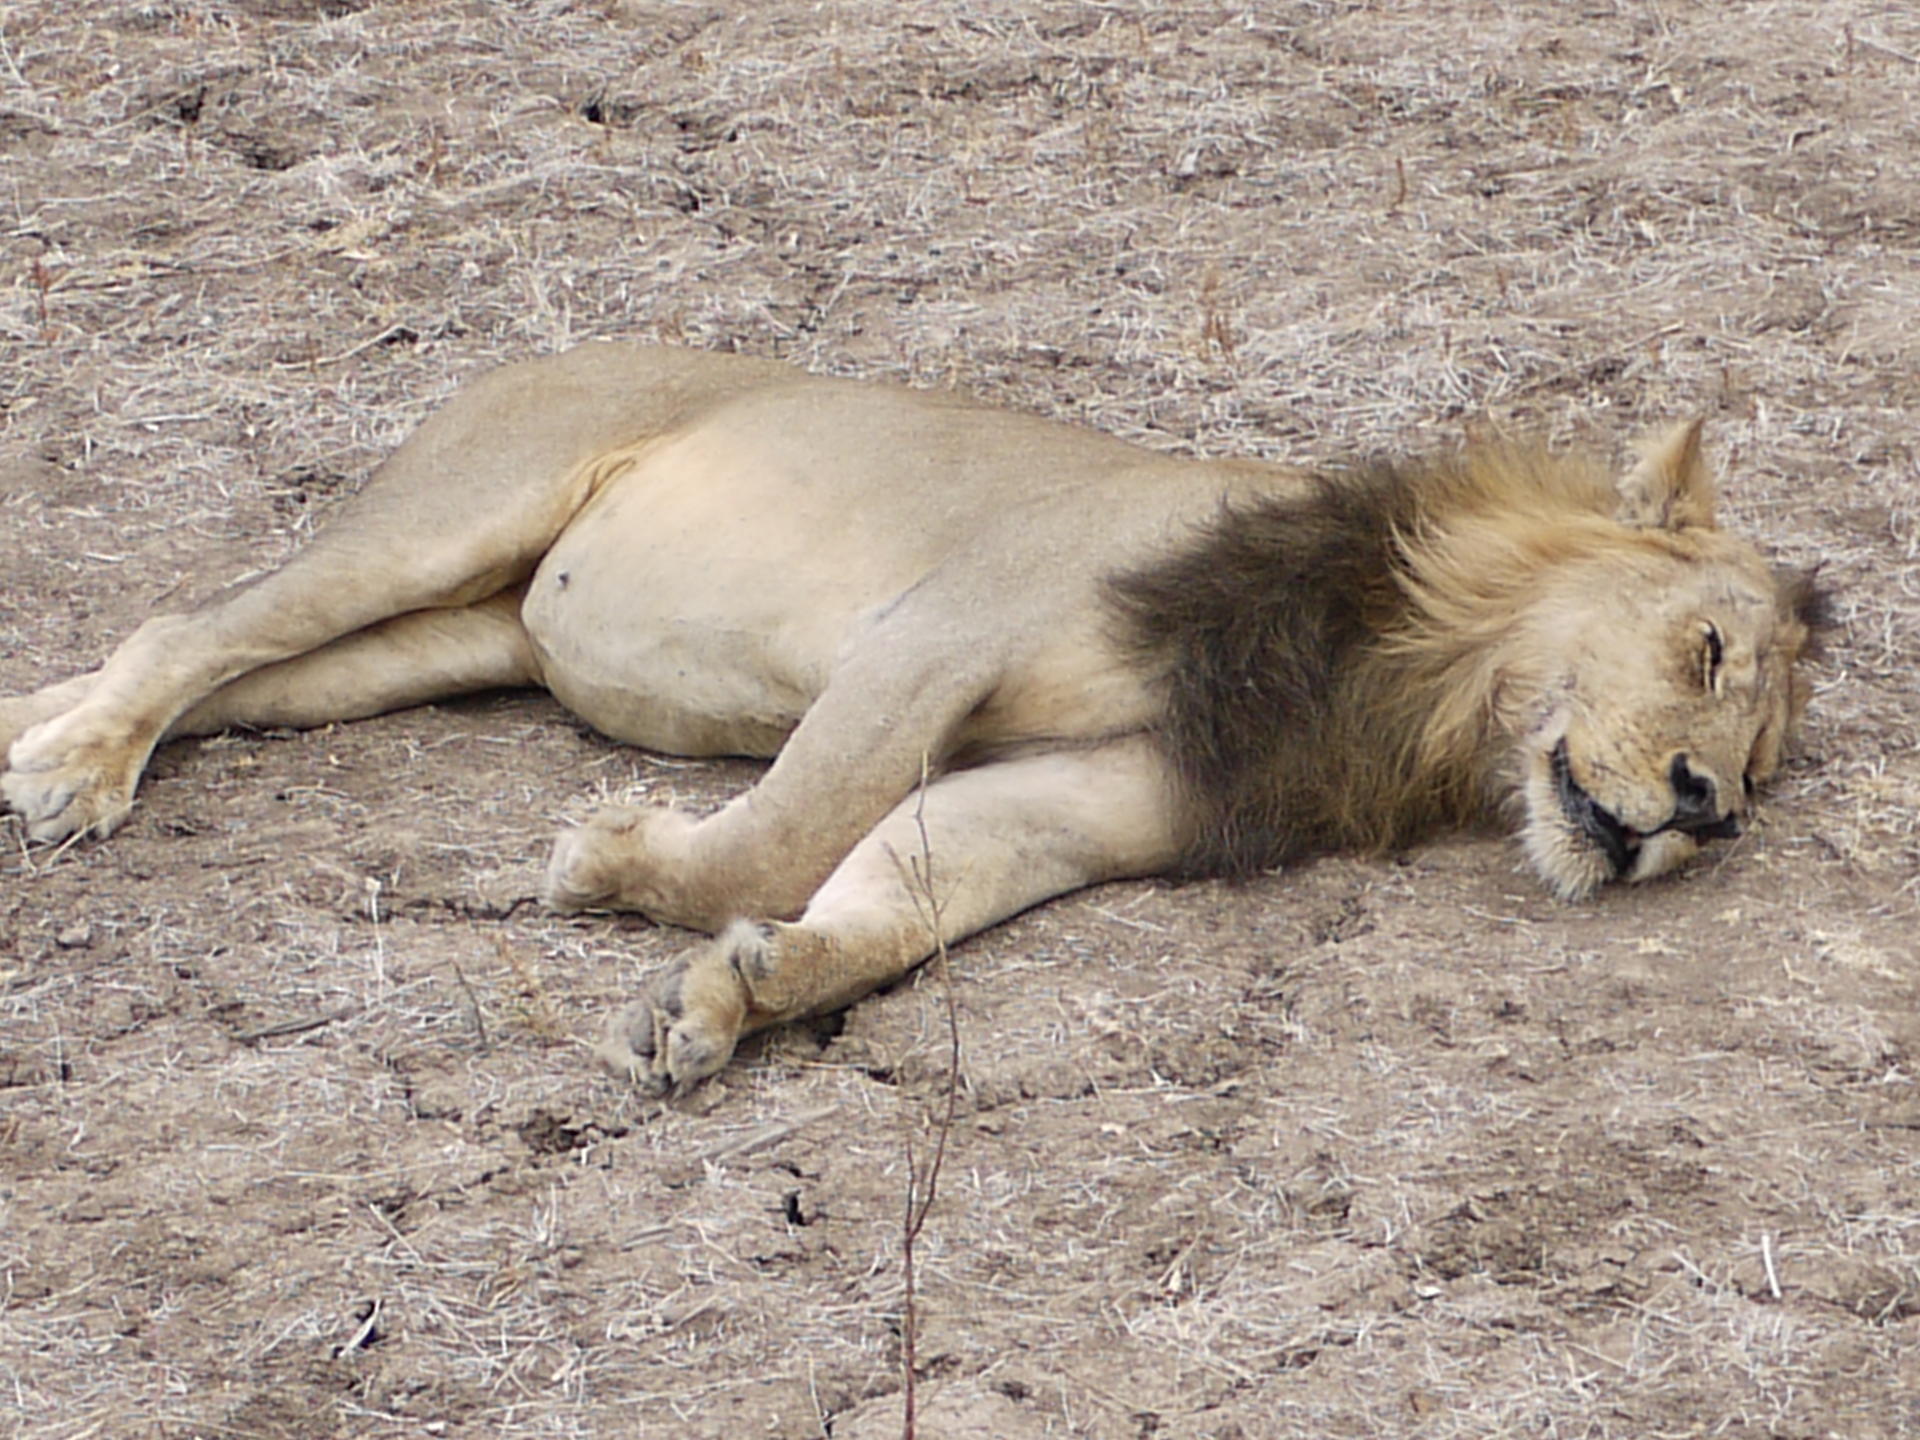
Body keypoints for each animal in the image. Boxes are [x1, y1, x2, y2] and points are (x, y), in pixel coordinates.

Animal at [3, 347, 1827, 1090]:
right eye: (1710, 652)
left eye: (1761, 770)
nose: (1702, 810)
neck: (1405, 687)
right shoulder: (945, 626)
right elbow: (793, 829)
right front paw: (612, 865)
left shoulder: (1104, 795)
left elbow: (894, 896)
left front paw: (735, 999)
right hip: (461, 510)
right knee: (192, 623)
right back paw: (81, 771)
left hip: (454, 640)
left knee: (232, 669)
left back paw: (46, 734)